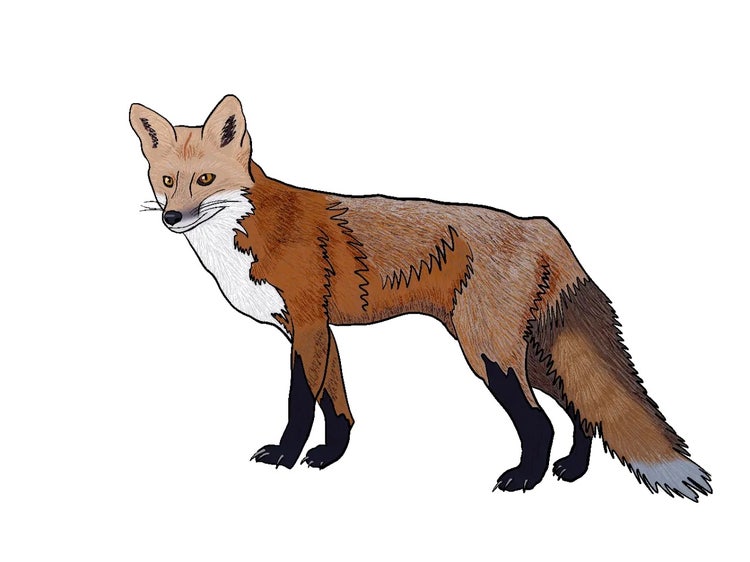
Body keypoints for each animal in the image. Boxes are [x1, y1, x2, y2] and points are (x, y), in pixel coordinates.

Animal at [130, 94, 712, 501]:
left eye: (205, 178)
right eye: (167, 180)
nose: (171, 218)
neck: (250, 228)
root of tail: (543, 226)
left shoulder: (308, 325)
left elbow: (300, 405)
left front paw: (286, 458)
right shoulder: (318, 332)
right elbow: (337, 406)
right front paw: (330, 458)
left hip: (489, 354)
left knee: (541, 421)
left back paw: (527, 479)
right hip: (524, 354)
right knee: (580, 409)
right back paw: (572, 470)